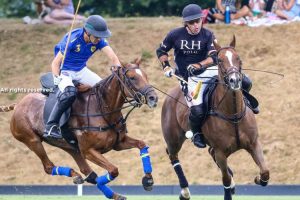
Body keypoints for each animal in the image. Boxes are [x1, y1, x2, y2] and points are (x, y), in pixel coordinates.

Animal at [1, 58, 158, 199]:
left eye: (145, 75)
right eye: (132, 77)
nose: (153, 98)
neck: (102, 108)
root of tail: (17, 104)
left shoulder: (118, 143)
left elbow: (142, 144)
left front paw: (148, 180)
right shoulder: (88, 150)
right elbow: (113, 170)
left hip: (69, 146)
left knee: (87, 171)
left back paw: (84, 179)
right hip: (32, 140)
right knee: (49, 167)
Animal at [162, 36, 270, 199]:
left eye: (238, 58)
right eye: (219, 60)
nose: (234, 80)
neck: (233, 114)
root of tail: (171, 94)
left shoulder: (254, 143)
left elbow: (265, 172)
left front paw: (257, 178)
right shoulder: (221, 152)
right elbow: (225, 179)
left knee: (209, 153)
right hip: (173, 138)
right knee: (172, 155)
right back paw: (185, 191)